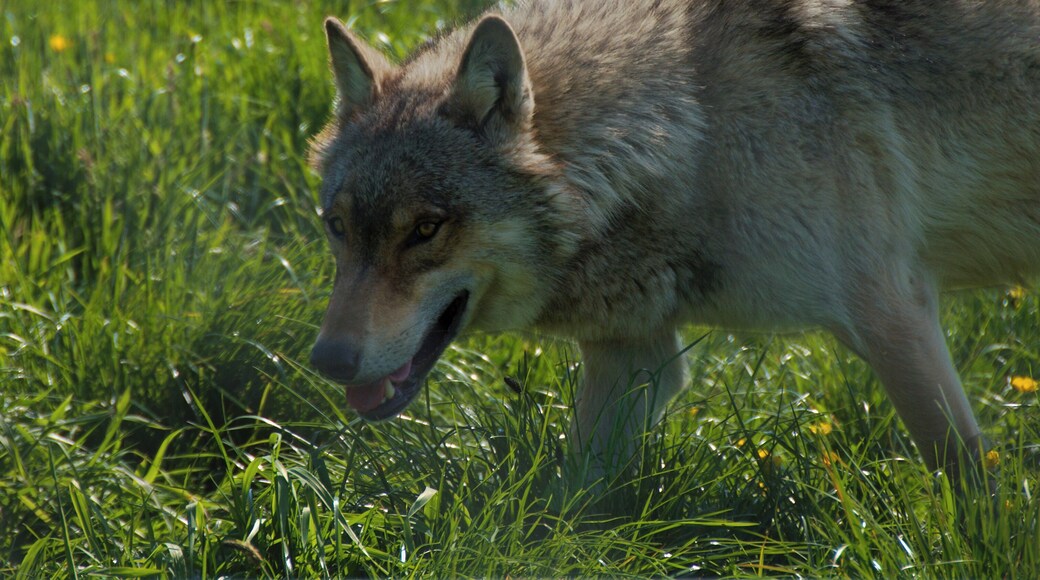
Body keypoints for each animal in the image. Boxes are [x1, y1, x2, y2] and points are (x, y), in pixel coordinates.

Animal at [308, 0, 1040, 479]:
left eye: (425, 230)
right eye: (336, 227)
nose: (327, 361)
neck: (693, 124)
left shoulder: (893, 314)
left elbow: (966, 473)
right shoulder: (633, 357)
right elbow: (569, 502)